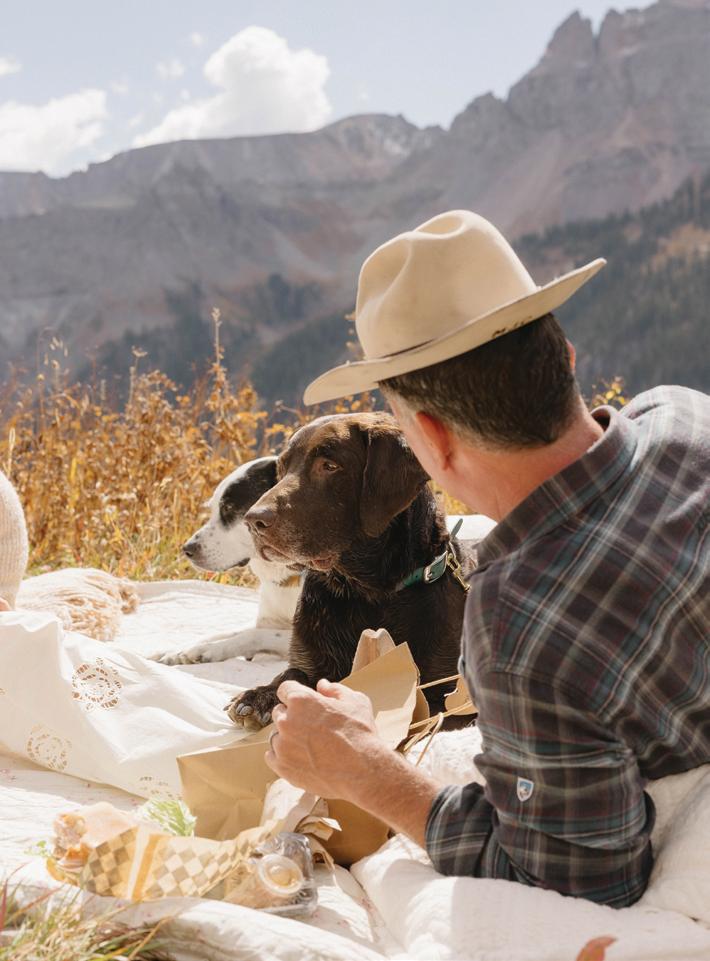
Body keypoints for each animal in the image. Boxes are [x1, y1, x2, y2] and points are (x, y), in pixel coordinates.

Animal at [152, 456, 302, 665]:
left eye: (229, 509)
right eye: (213, 508)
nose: (187, 549)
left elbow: (251, 635)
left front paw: (207, 650)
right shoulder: (268, 621)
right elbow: (224, 632)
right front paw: (176, 650)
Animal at [225, 412, 477, 729]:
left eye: (329, 466)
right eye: (282, 468)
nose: (253, 520)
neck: (365, 591)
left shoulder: (454, 699)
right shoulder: (309, 660)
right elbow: (291, 674)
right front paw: (260, 695)